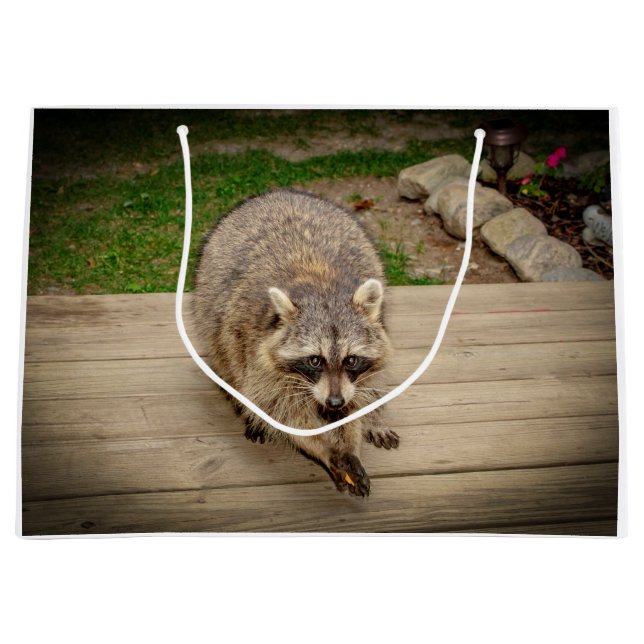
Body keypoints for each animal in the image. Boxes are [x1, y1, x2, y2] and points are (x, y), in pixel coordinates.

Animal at [193, 189, 399, 496]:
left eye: (351, 360)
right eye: (315, 360)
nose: (334, 402)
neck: (321, 284)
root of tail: (280, 192)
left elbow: (356, 401)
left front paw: (352, 440)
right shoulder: (254, 351)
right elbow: (280, 411)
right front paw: (324, 449)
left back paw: (375, 415)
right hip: (211, 312)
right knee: (225, 360)